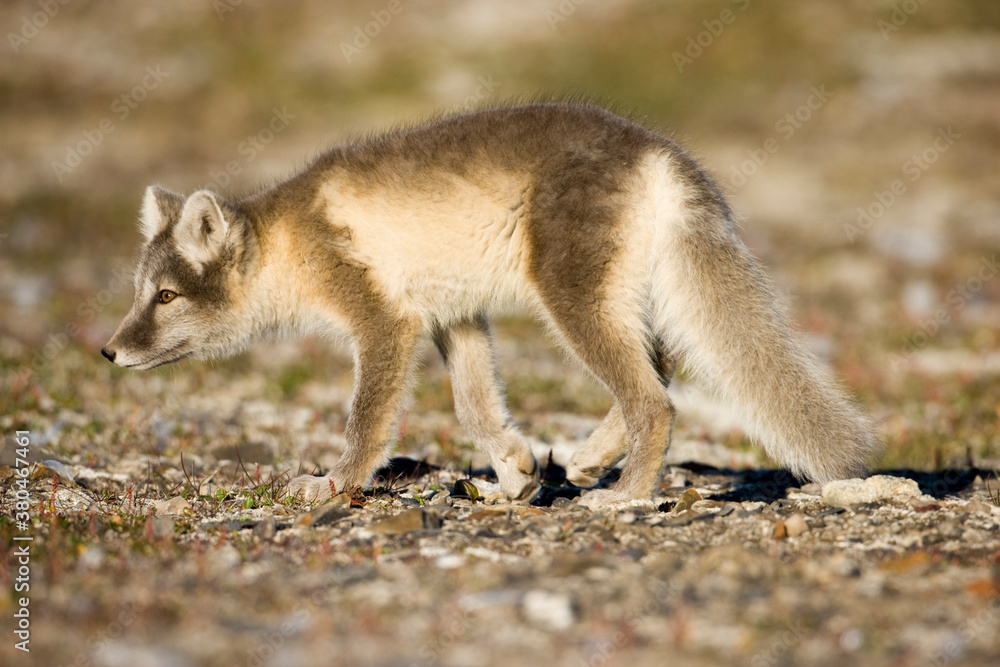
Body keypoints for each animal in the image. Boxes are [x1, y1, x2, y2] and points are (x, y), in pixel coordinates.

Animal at [102, 102, 878, 509]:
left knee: (654, 399)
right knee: (658, 370)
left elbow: (368, 421)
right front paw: (514, 473)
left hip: (570, 296)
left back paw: (623, 493)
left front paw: (334, 482)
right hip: (620, 296)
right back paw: (586, 461)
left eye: (167, 296)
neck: (290, 241)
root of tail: (661, 155)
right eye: (139, 292)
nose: (108, 351)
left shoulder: (385, 320)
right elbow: (476, 407)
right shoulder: (452, 317)